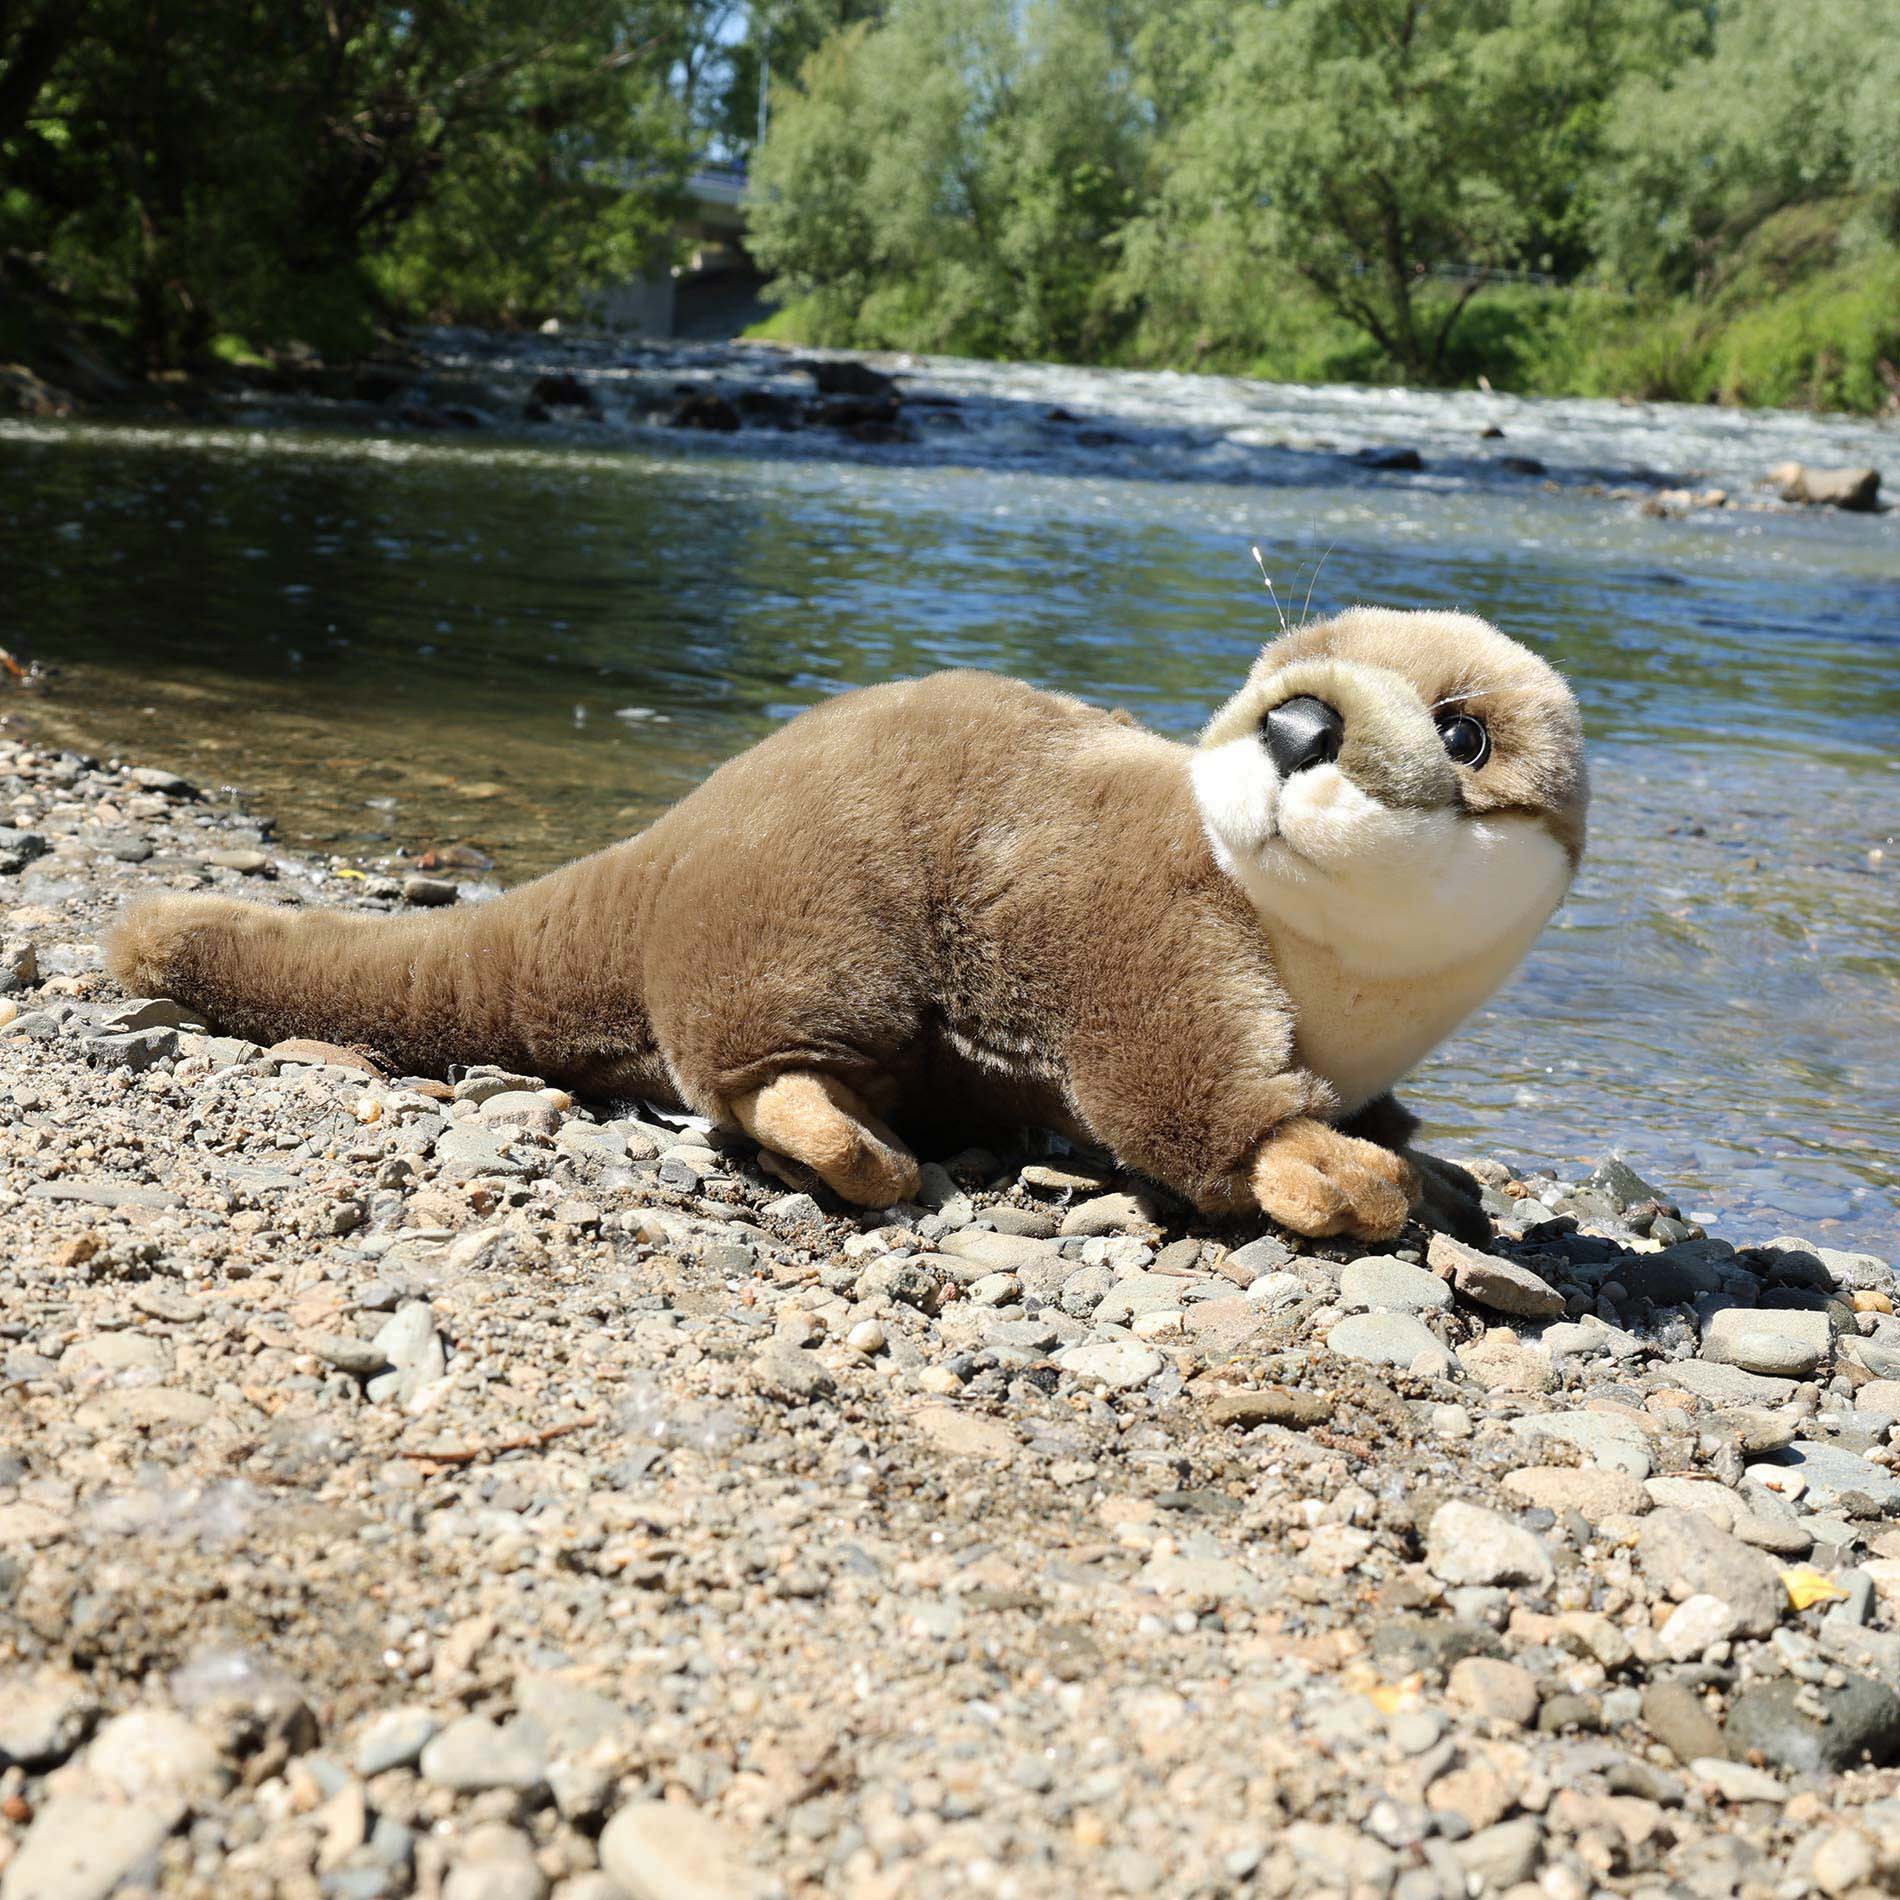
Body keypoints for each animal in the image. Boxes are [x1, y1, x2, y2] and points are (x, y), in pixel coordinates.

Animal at [106, 607, 1586, 1242]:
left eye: (1462, 731)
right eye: (1274, 677)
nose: (1299, 724)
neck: (1352, 990)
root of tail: (675, 837)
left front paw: (1420, 1157)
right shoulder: (1143, 916)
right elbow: (1175, 1075)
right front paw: (1323, 1165)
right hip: (804, 927)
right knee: (746, 1071)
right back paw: (857, 1148)